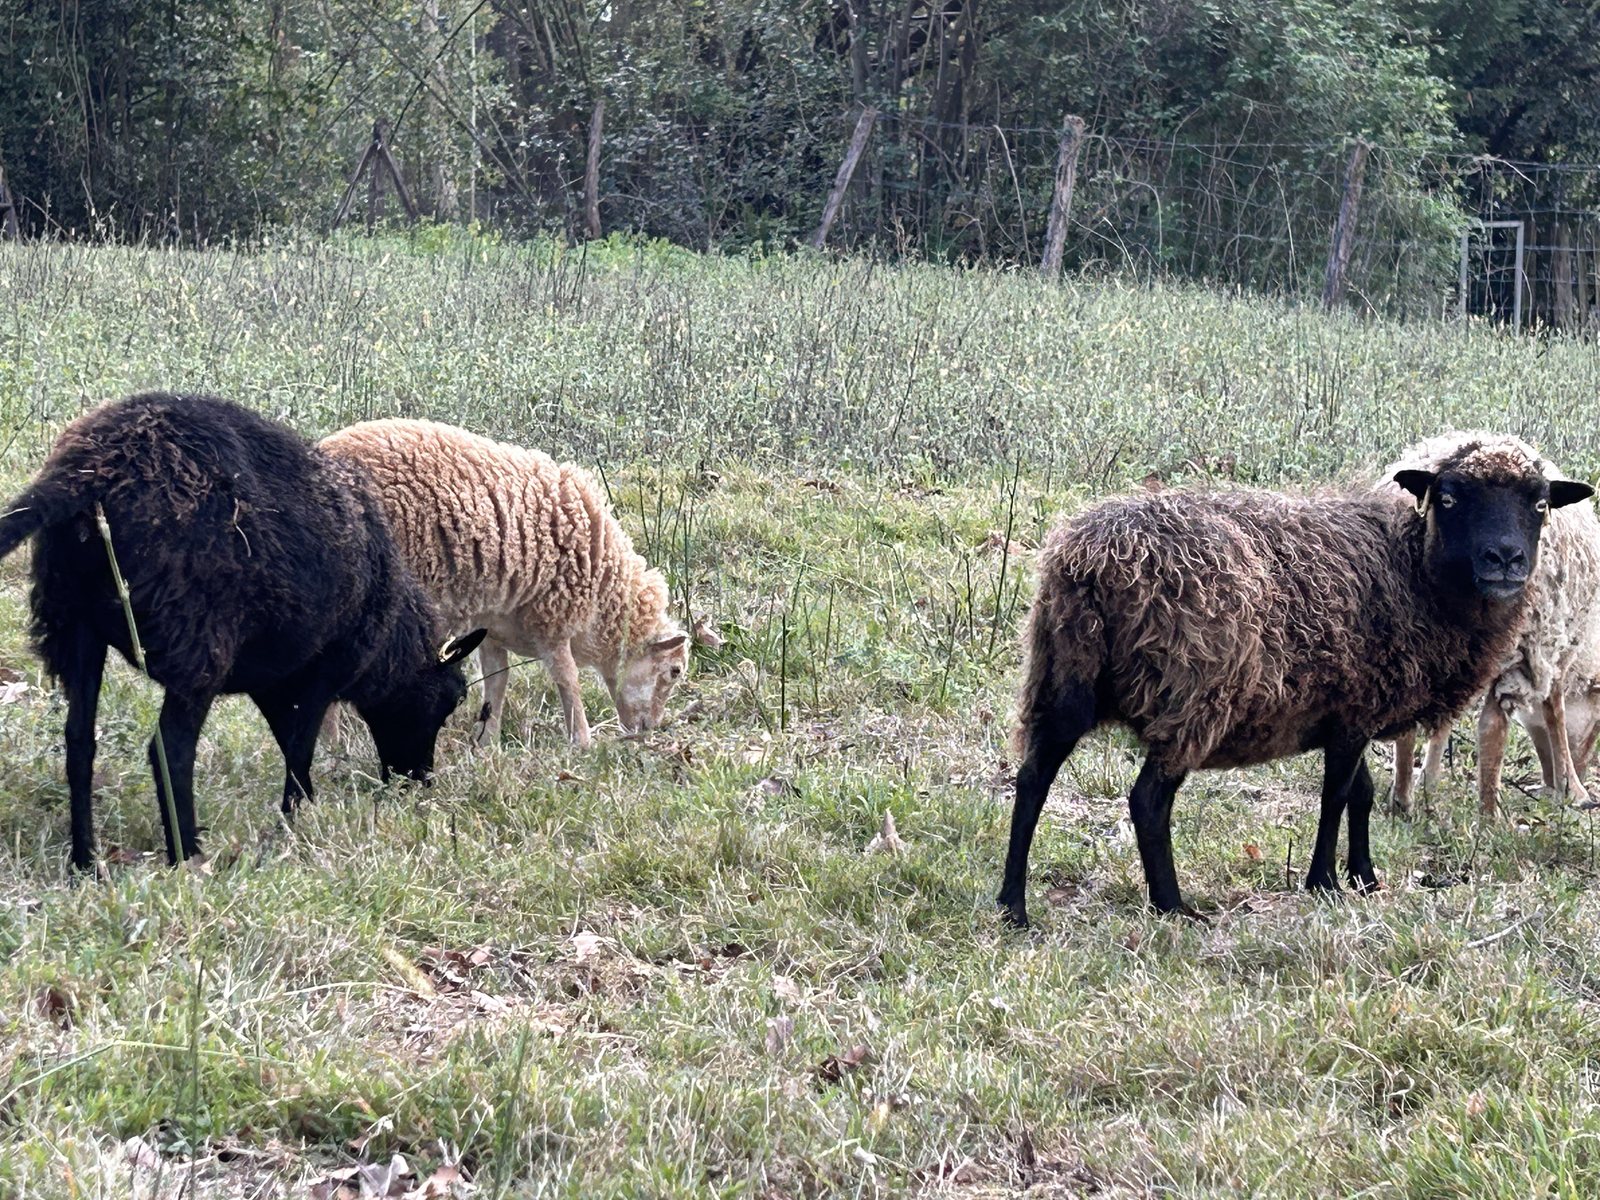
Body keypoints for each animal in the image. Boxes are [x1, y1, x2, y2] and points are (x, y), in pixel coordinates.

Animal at [0, 393, 487, 870]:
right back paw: (187, 856)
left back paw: (84, 862)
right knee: (169, 749)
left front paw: (305, 809)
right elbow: (300, 748)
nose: (419, 784)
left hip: (74, 622)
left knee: (79, 742)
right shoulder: (325, 669)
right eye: (451, 699)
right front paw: (294, 822)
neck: (390, 639)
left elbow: (288, 743)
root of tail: (88, 471)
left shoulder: (273, 679)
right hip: (197, 643)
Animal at [317, 419, 689, 749]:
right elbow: (567, 679)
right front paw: (582, 741)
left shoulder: (492, 625)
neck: (605, 586)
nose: (648, 731)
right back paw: (334, 750)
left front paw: (486, 742)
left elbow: (498, 680)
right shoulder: (553, 616)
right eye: (674, 671)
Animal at [1385, 432, 1600, 816]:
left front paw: (1488, 815)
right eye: (1448, 500)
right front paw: (1402, 804)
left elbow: (1492, 734)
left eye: (1541, 504)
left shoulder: (1520, 661)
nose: (1505, 558)